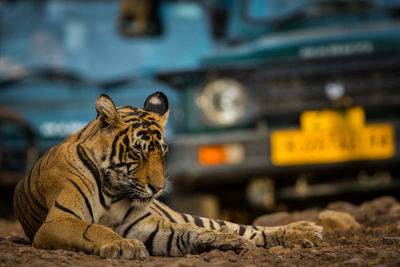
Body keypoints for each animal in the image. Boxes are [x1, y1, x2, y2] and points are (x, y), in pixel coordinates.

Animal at [14, 91, 324, 260]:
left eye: (162, 153)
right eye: (137, 153)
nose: (159, 188)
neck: (113, 190)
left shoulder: (146, 225)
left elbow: (186, 231)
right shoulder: (59, 221)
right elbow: (94, 229)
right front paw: (125, 245)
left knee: (244, 228)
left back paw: (306, 231)